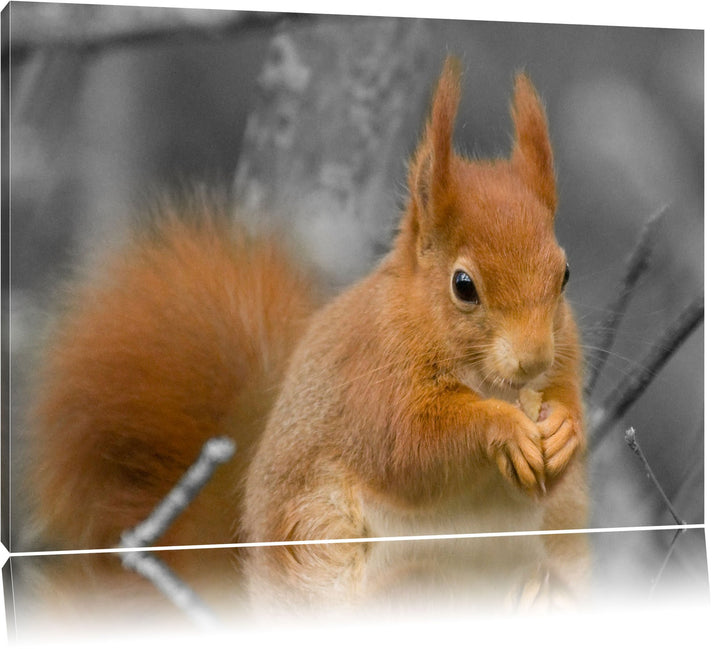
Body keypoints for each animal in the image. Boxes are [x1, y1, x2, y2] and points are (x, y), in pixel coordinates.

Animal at [26, 57, 588, 615]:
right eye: (464, 285)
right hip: (319, 533)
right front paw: (504, 427)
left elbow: (562, 402)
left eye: (564, 274)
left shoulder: (566, 356)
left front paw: (563, 427)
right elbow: (409, 446)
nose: (533, 360)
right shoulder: (374, 378)